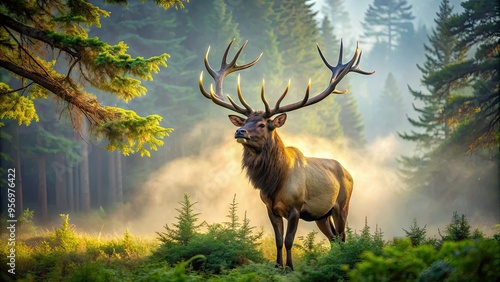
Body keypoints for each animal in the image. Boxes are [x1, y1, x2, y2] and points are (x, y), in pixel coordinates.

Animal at [197, 39, 374, 268]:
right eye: (245, 121)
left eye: (262, 124)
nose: (239, 131)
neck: (275, 182)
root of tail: (348, 172)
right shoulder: (270, 208)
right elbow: (278, 240)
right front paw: (278, 265)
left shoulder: (296, 208)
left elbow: (289, 240)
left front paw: (290, 267)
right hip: (321, 215)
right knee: (333, 238)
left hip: (342, 205)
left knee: (342, 236)